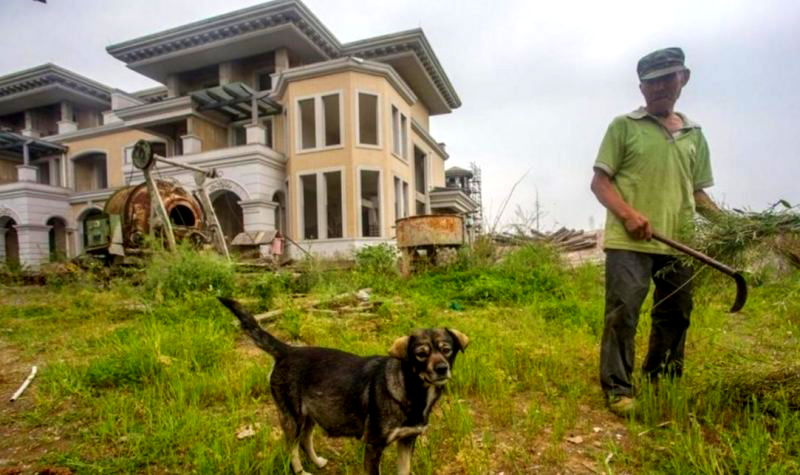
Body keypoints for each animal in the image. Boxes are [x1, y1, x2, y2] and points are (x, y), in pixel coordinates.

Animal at [219, 300, 468, 474]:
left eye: (447, 349)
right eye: (420, 354)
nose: (442, 369)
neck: (412, 389)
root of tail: (288, 350)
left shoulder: (407, 440)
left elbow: (404, 470)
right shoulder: (373, 446)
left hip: (311, 414)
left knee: (305, 440)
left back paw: (317, 462)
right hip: (293, 418)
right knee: (291, 447)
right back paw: (301, 471)